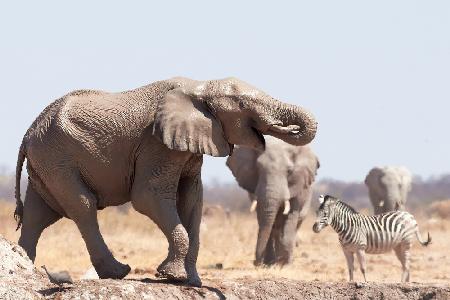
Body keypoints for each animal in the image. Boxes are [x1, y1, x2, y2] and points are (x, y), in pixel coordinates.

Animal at [225, 136, 320, 264]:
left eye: (289, 171)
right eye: (258, 168)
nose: (256, 262)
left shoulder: (299, 185)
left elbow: (291, 215)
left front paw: (284, 263)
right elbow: (264, 218)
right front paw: (269, 264)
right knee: (275, 228)